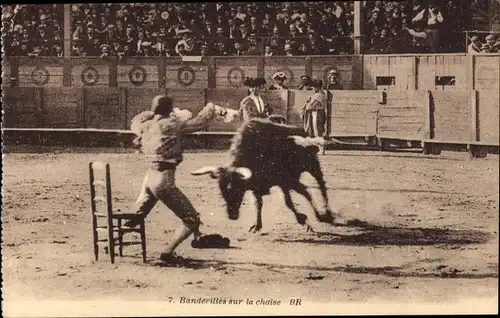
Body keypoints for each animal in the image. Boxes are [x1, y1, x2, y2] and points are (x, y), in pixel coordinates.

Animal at [191, 118, 340, 232]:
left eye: (237, 189)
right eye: (222, 192)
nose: (232, 216)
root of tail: (304, 131)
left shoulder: (286, 180)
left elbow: (301, 196)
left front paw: (312, 218)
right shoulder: (260, 186)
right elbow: (261, 204)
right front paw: (257, 225)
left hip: (313, 166)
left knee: (321, 186)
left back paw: (328, 213)